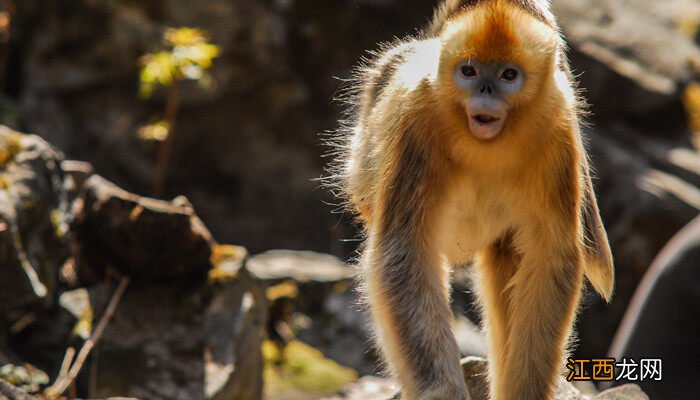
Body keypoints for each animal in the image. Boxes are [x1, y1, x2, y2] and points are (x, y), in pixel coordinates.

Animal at [330, 0, 616, 400]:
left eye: (508, 75)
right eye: (469, 71)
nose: (485, 90)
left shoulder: (557, 135)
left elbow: (552, 257)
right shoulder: (418, 122)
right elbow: (404, 255)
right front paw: (442, 390)